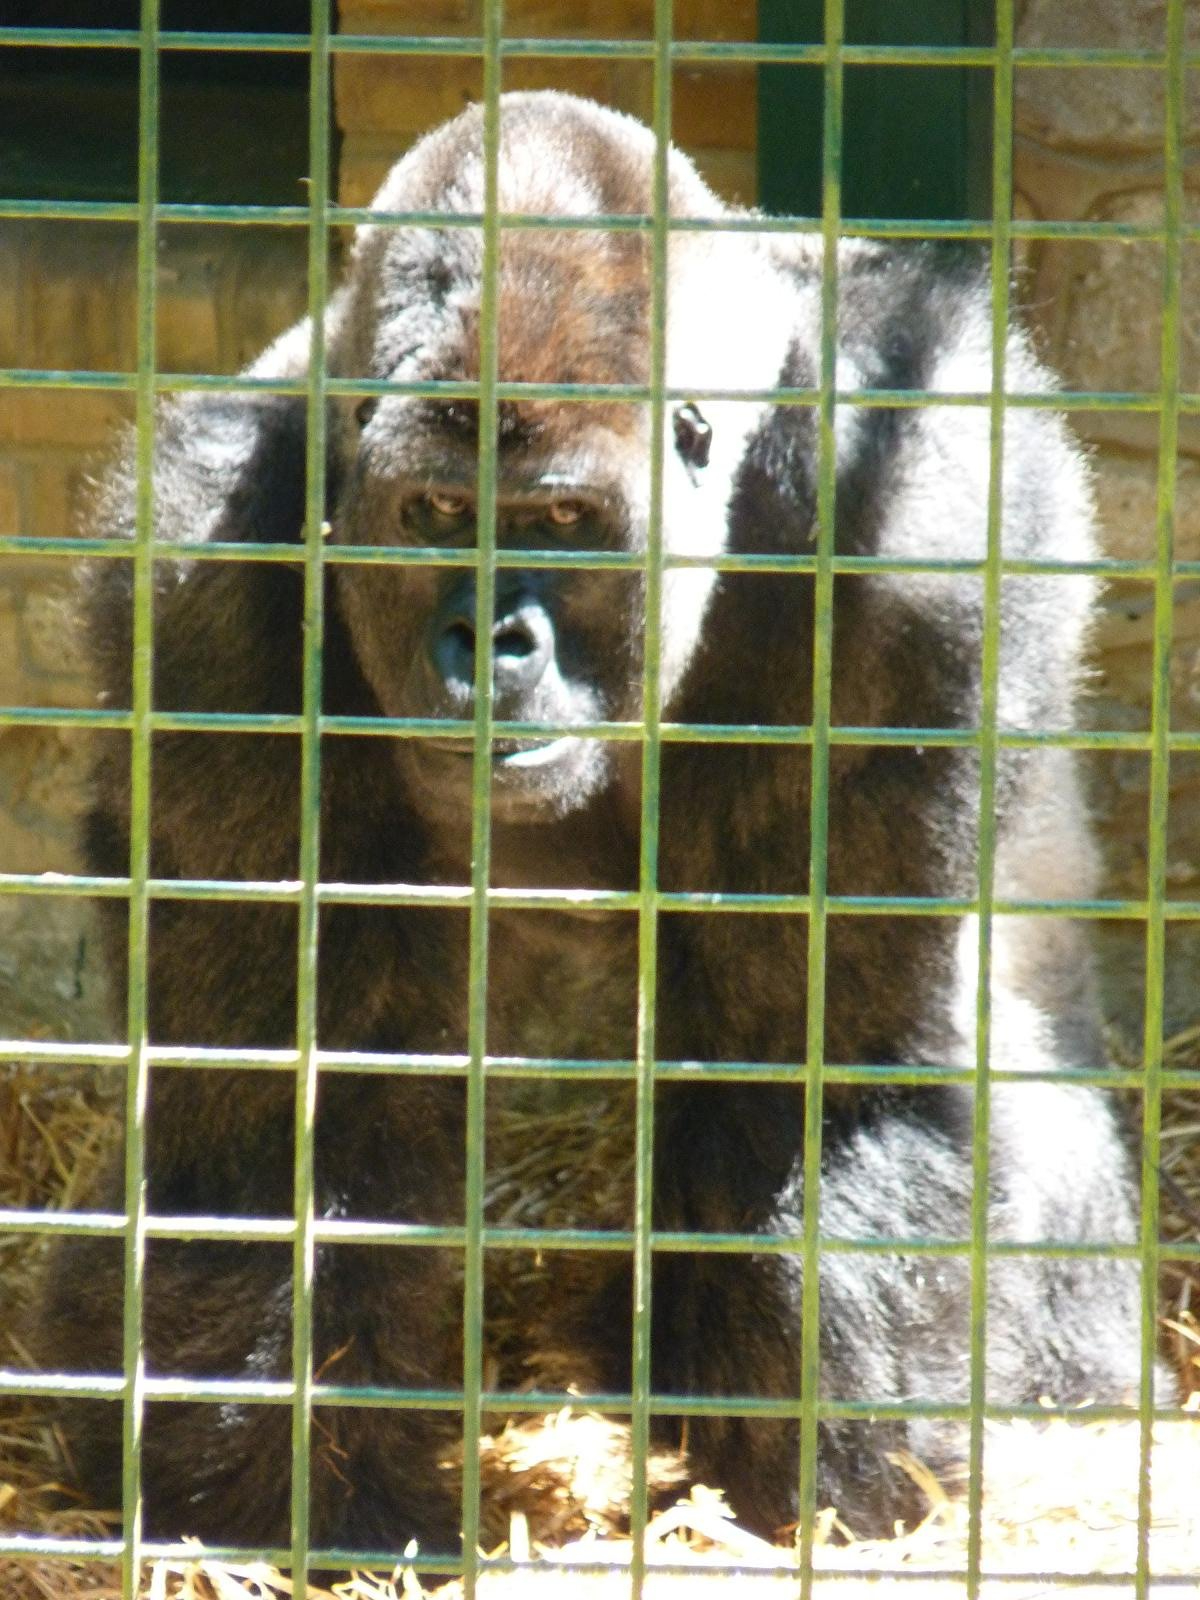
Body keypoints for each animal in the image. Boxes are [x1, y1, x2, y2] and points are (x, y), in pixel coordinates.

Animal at [20, 90, 1166, 1556]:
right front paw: (294, 1492)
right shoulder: (202, 578)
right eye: (436, 515)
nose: (491, 644)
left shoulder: (923, 535)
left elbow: (810, 1067)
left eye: (561, 517)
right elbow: (289, 1094)